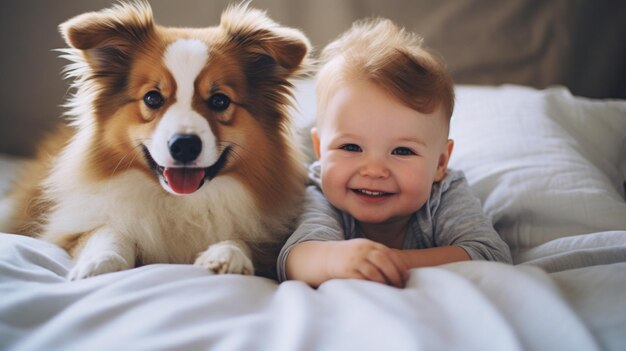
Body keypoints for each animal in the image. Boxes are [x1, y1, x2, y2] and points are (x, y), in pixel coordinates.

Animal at [1, 0, 308, 280]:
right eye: (152, 98)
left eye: (220, 101)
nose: (184, 145)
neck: (181, 202)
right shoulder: (73, 228)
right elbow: (109, 231)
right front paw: (100, 263)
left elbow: (245, 241)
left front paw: (227, 255)